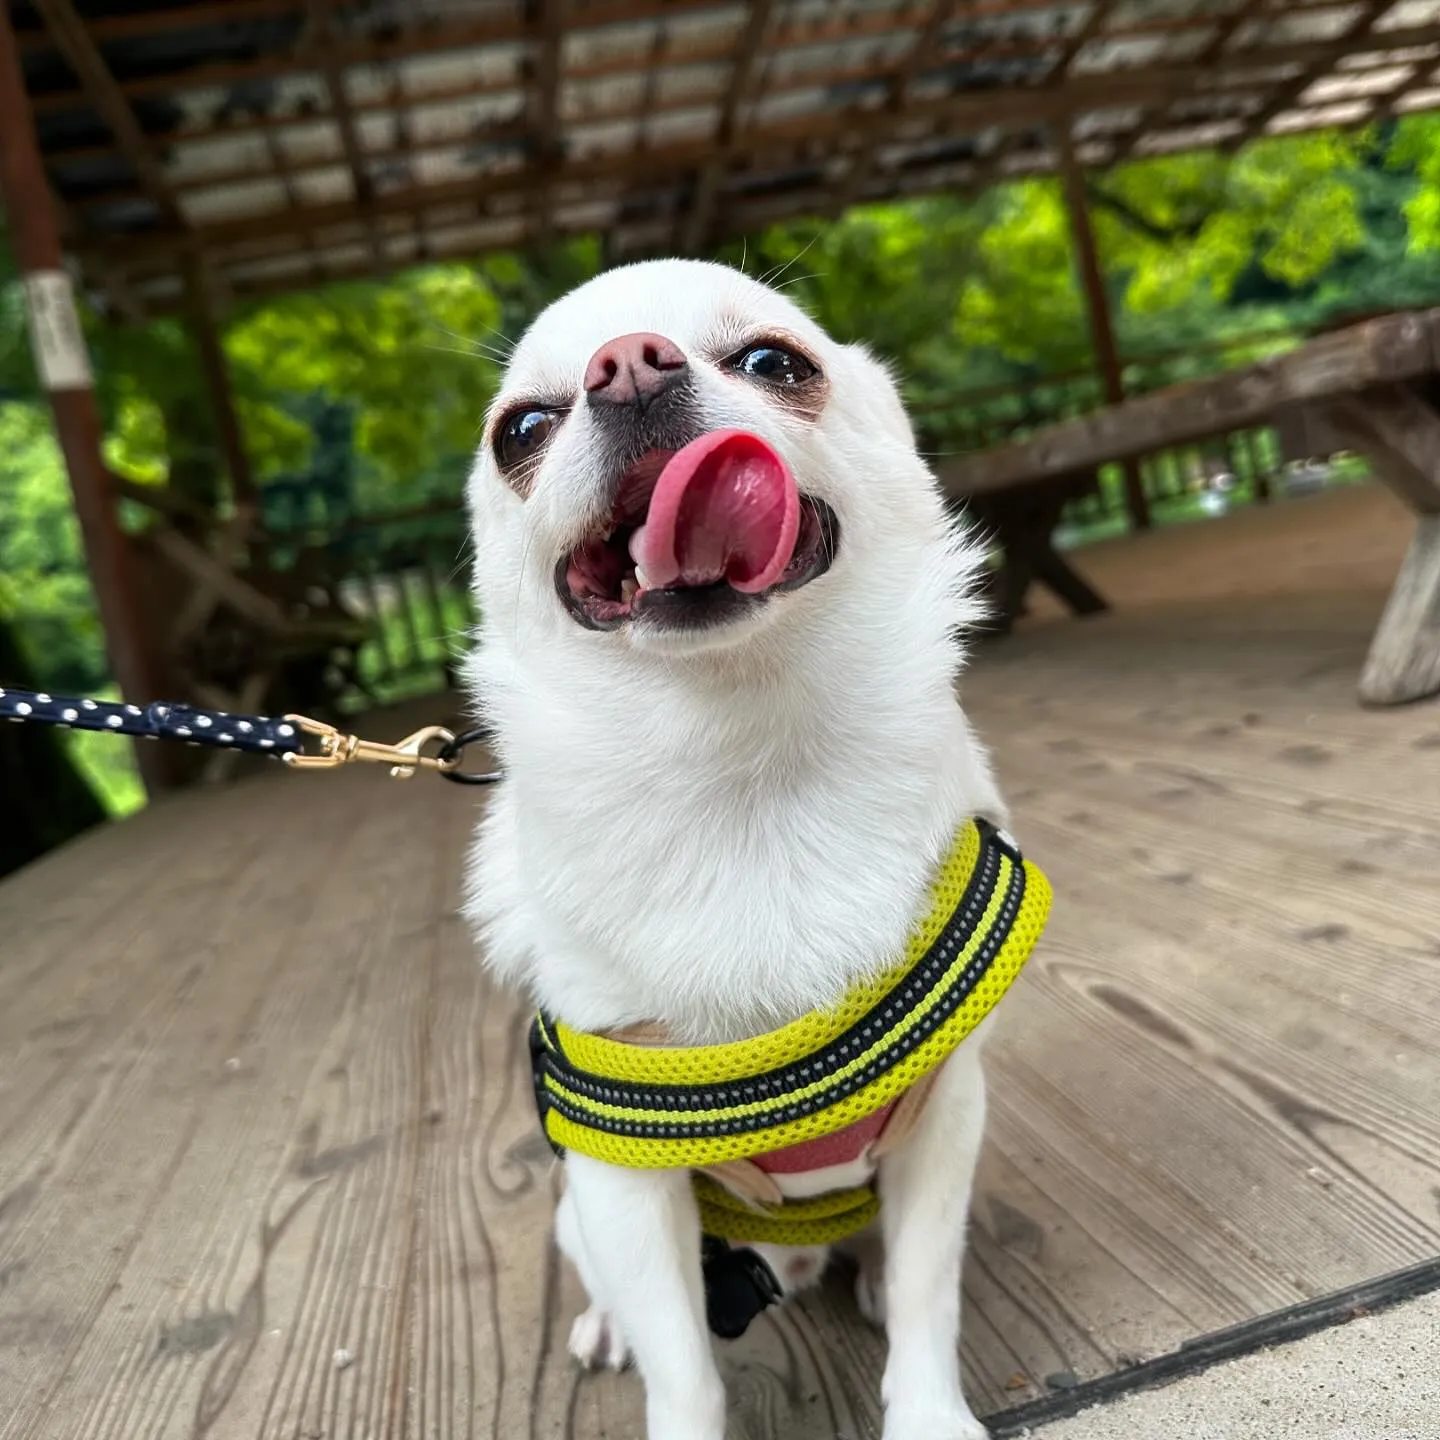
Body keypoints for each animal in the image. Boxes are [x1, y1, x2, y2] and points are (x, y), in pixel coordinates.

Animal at [460, 262, 1013, 1440]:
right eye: (520, 429)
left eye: (773, 362)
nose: (626, 362)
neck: (745, 770)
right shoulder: (622, 1178)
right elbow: (685, 1367)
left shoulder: (944, 1115)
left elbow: (928, 1291)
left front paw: (928, 1412)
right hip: (579, 1210)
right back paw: (607, 1325)